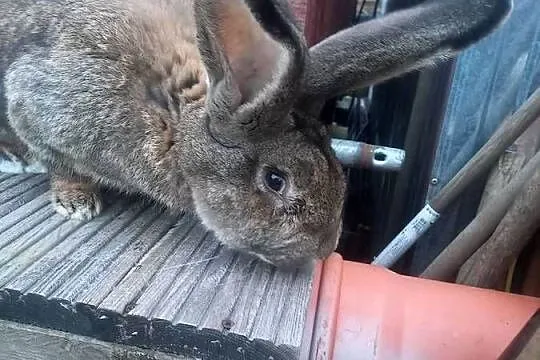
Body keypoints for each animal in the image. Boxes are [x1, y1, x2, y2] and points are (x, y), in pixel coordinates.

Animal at [0, 0, 512, 266]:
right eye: (275, 180)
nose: (323, 250)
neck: (180, 128)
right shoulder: (38, 106)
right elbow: (59, 162)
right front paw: (75, 202)